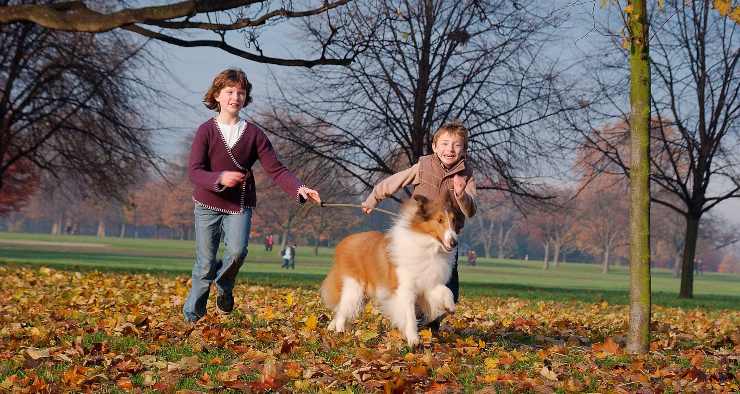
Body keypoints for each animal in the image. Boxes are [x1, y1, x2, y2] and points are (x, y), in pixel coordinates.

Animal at [320, 195, 460, 346]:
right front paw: (413, 340)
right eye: (439, 220)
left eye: (454, 220)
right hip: (354, 288)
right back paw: (340, 331)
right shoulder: (405, 289)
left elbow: (447, 291)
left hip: (364, 294)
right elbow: (410, 316)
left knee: (341, 309)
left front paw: (450, 306)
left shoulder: (428, 283)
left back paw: (332, 327)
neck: (427, 246)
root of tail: (344, 242)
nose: (454, 243)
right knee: (343, 310)